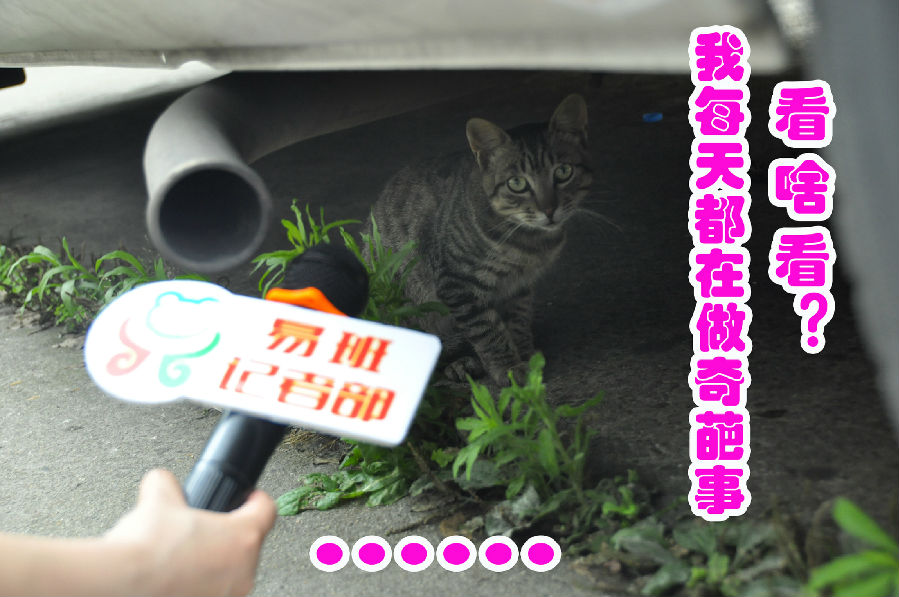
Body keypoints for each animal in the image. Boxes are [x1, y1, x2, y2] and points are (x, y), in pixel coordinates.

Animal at [365, 94, 592, 385]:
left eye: (563, 172)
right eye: (517, 183)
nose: (549, 209)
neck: (530, 244)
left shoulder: (519, 286)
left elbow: (517, 322)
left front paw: (526, 355)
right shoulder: (458, 284)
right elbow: (489, 332)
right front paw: (509, 368)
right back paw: (458, 364)